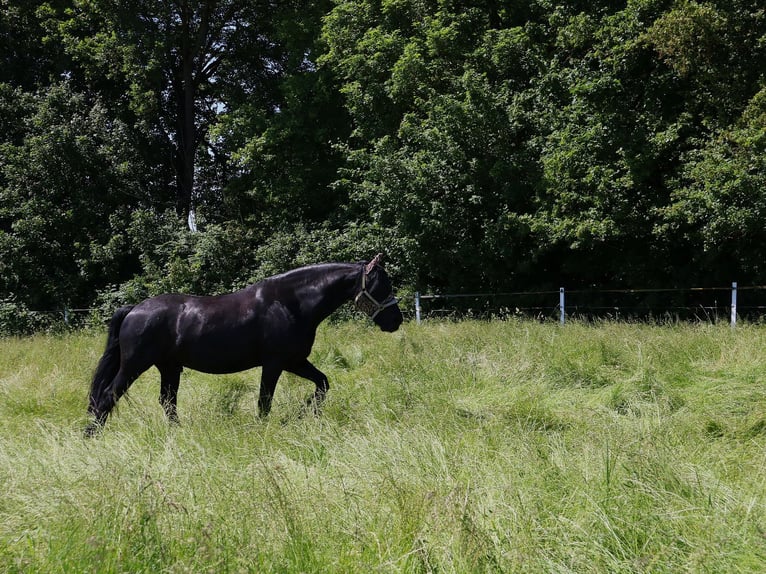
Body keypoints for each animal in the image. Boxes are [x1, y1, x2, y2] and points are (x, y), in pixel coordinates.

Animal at [84, 253, 403, 435]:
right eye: (383, 284)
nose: (396, 320)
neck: (291, 303)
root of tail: (135, 309)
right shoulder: (275, 364)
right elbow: (265, 402)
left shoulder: (295, 361)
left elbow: (322, 383)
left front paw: (300, 416)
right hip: (135, 365)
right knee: (107, 397)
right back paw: (91, 436)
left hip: (169, 367)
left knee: (167, 402)